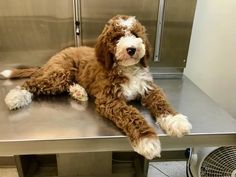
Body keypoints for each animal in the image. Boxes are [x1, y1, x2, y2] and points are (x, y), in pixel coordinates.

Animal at [0, 15, 192, 159]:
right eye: (117, 38)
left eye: (136, 35)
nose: (131, 49)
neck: (127, 68)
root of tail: (50, 60)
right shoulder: (109, 99)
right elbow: (131, 115)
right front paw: (147, 139)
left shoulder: (149, 88)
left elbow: (161, 102)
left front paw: (176, 121)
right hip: (61, 72)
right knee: (33, 82)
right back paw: (16, 96)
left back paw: (78, 92)